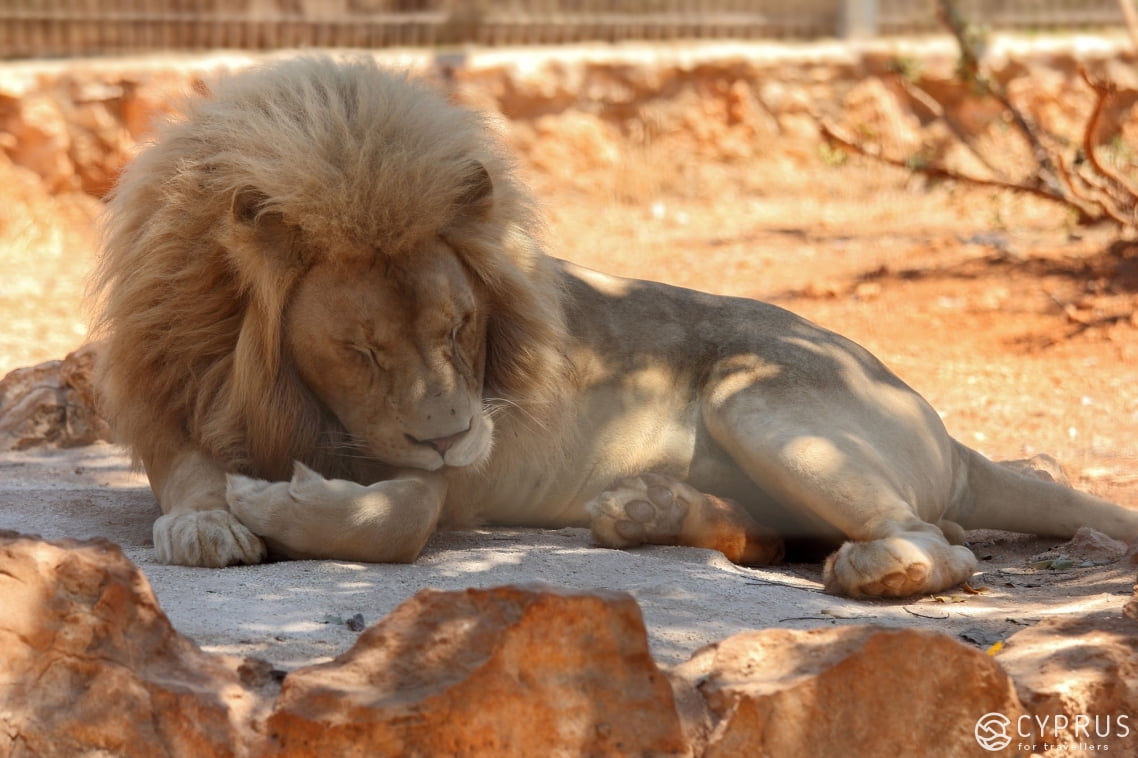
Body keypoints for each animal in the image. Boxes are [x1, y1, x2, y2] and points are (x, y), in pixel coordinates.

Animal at [91, 56, 1138, 596]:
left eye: (462, 326)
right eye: (363, 350)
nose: (454, 434)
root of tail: (947, 432)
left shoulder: (453, 466)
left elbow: (400, 516)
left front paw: (269, 503)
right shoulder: (170, 398)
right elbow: (192, 475)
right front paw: (204, 522)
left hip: (759, 398)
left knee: (942, 544)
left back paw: (867, 568)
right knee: (797, 537)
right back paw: (647, 511)